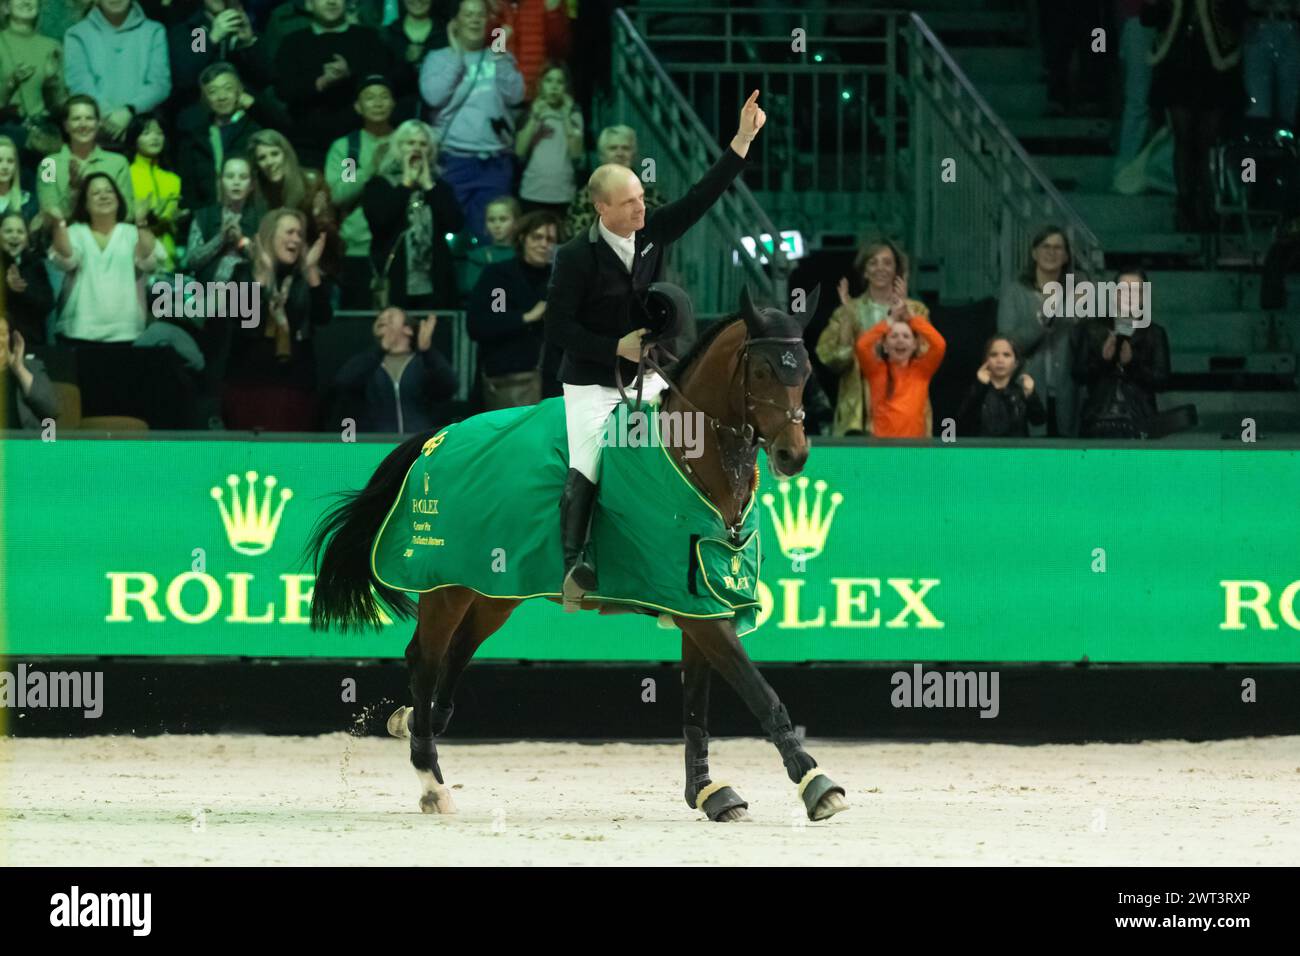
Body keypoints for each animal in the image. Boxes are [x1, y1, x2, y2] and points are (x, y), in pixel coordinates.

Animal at [305, 286, 852, 822]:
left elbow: (697, 706)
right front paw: (816, 783)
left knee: (456, 654)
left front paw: (707, 792)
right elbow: (760, 691)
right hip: (448, 585)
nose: (793, 456)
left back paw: (413, 722)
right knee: (425, 658)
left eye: (805, 373)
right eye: (762, 371)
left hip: (495, 588)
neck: (692, 460)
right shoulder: (696, 608)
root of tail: (438, 437)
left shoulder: (701, 601)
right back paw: (431, 781)